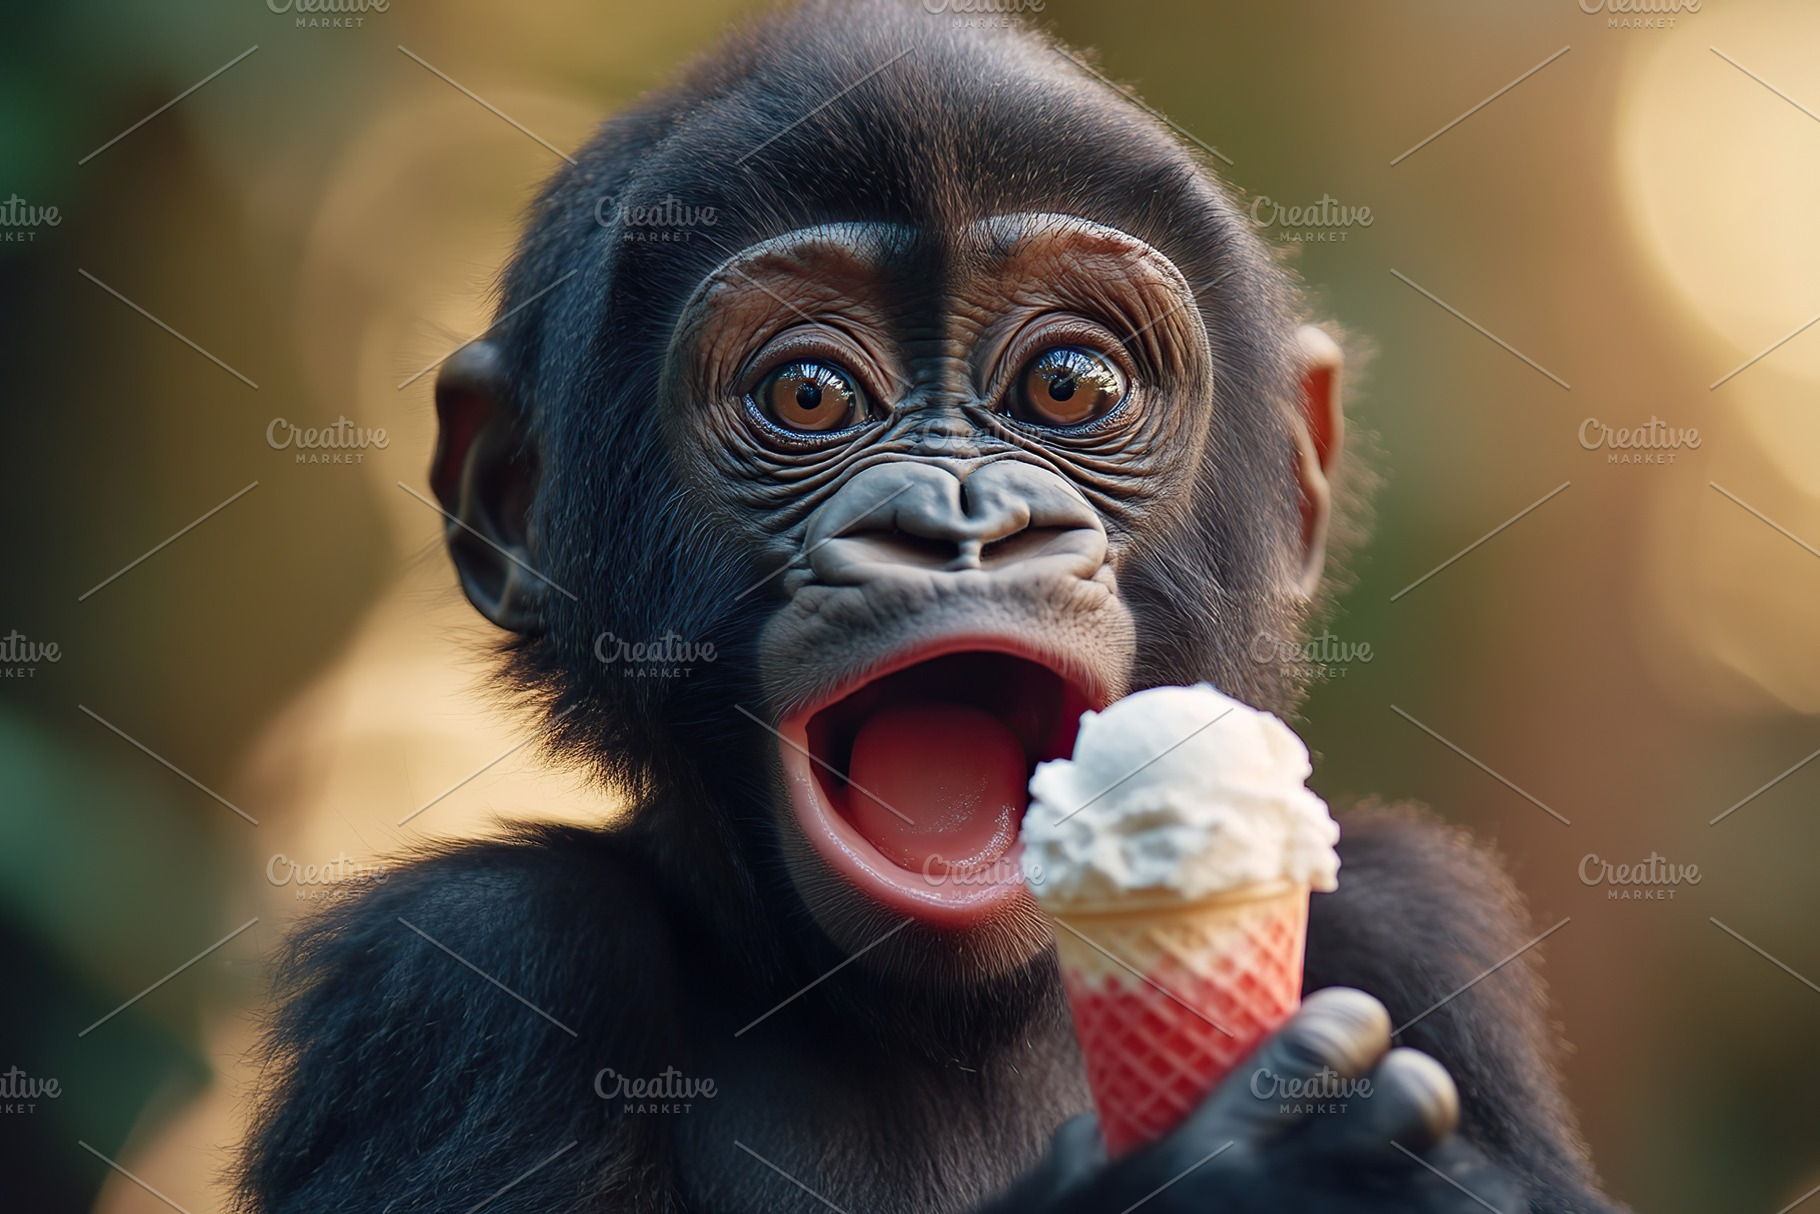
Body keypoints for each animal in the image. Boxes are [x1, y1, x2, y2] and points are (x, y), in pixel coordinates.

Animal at [235, 3, 1625, 1211]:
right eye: (807, 395)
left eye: (1068, 385)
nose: (959, 519)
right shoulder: (463, 968)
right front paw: (1222, 1172)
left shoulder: (1418, 926)